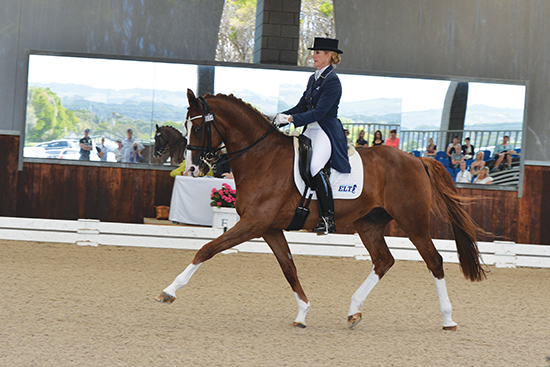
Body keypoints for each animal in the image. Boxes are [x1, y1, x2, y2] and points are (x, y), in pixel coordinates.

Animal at [155, 90, 488, 330]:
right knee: (384, 261)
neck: (261, 157)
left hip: (413, 221)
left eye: (199, 126)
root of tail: (417, 159)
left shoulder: (253, 224)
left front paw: (169, 291)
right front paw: (302, 313)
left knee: (434, 261)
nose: (194, 169)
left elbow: (207, 249)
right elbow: (288, 268)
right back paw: (354, 311)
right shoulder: (270, 228)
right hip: (368, 223)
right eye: (186, 125)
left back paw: (448, 319)